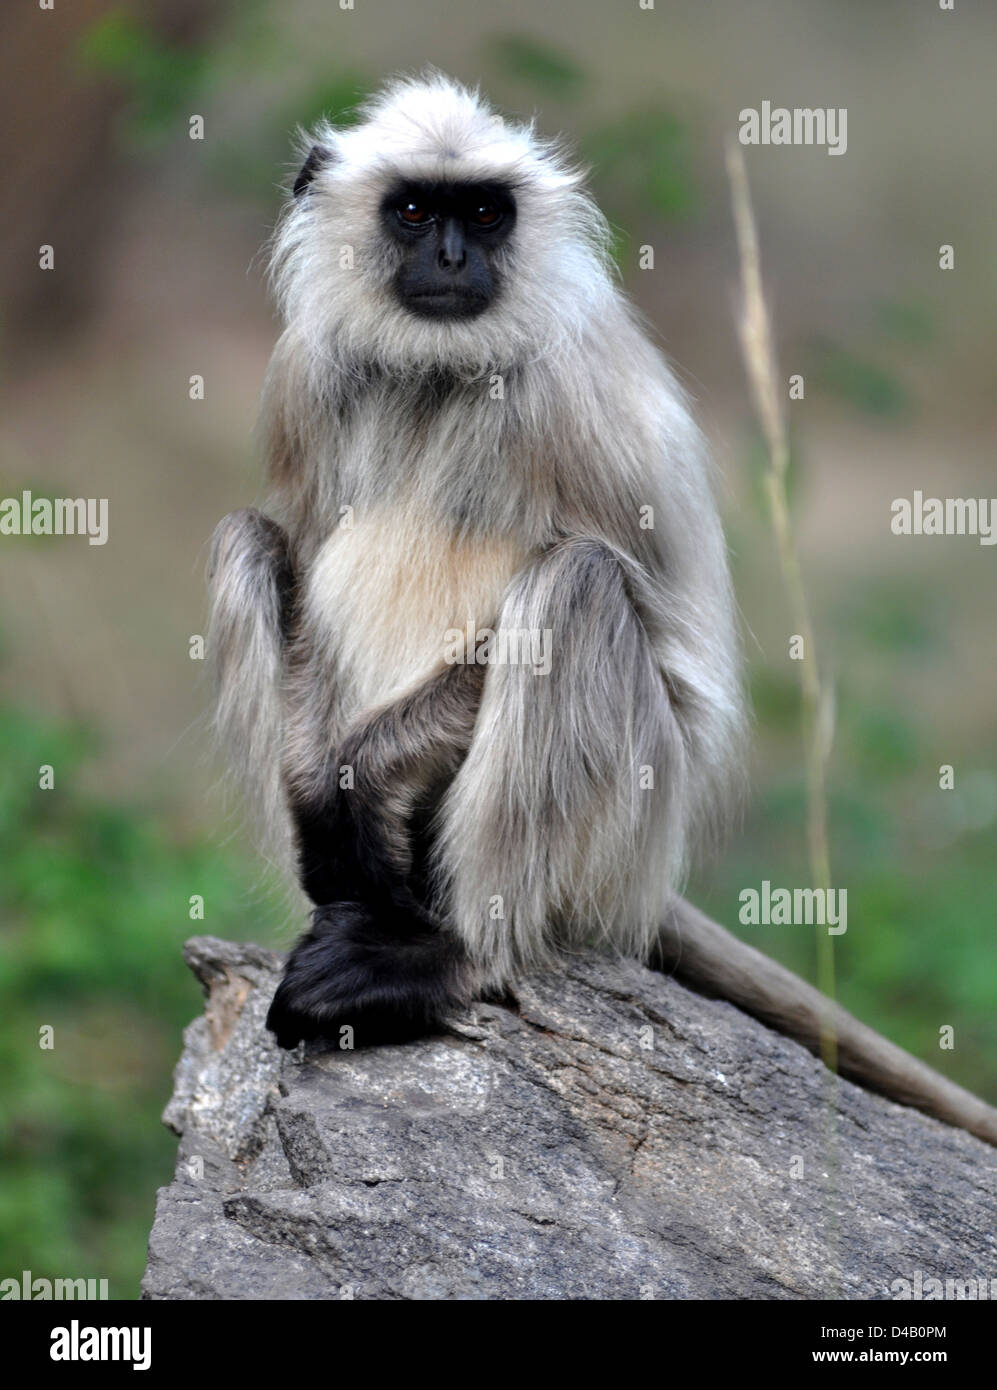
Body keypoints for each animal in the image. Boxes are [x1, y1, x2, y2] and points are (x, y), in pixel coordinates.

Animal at [205, 70, 990, 1145]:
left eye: (482, 214)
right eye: (414, 211)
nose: (452, 257)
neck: (439, 374)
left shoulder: (577, 387)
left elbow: (670, 657)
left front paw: (364, 779)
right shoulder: (304, 371)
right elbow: (305, 550)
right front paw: (323, 792)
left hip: (623, 837)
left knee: (578, 585)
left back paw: (452, 960)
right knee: (248, 540)